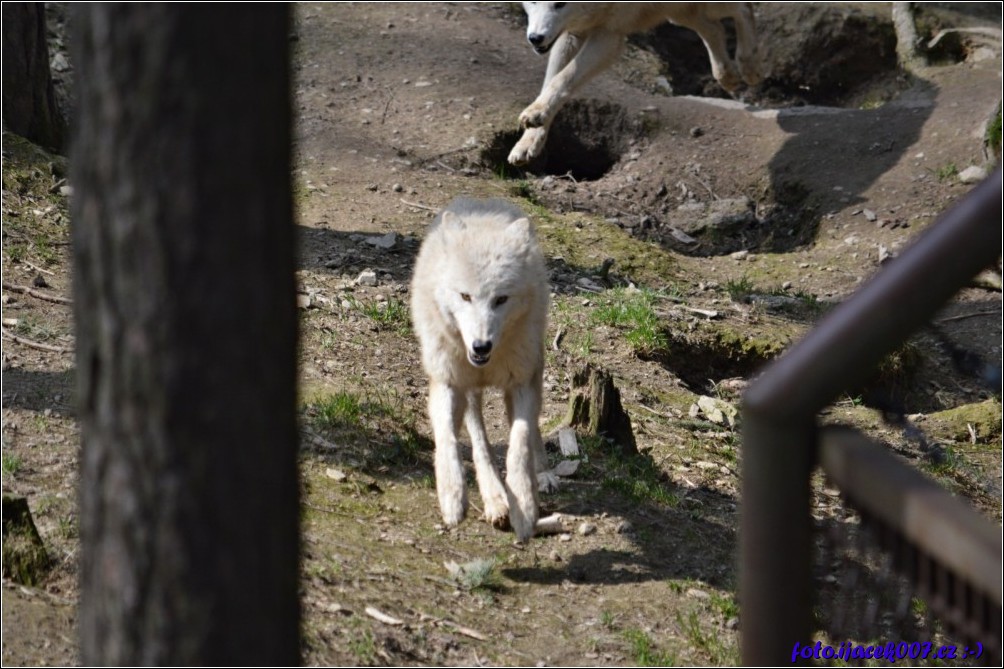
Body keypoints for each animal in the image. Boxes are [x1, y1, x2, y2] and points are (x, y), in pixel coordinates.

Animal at [407, 195, 550, 538]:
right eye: (465, 296)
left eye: (501, 299)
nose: (480, 346)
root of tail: (483, 200)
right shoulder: (447, 382)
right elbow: (447, 437)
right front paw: (452, 495)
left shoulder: (521, 383)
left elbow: (520, 441)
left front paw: (524, 504)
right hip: (468, 388)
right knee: (478, 437)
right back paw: (495, 499)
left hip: (533, 366)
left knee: (529, 431)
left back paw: (536, 476)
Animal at [510, 1, 759, 165]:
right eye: (533, 1)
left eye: (560, 3)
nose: (536, 38)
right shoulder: (573, 32)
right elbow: (552, 81)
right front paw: (528, 140)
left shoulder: (609, 36)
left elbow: (562, 79)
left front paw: (535, 116)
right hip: (678, 13)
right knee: (714, 28)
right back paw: (727, 76)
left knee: (743, 9)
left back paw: (749, 66)